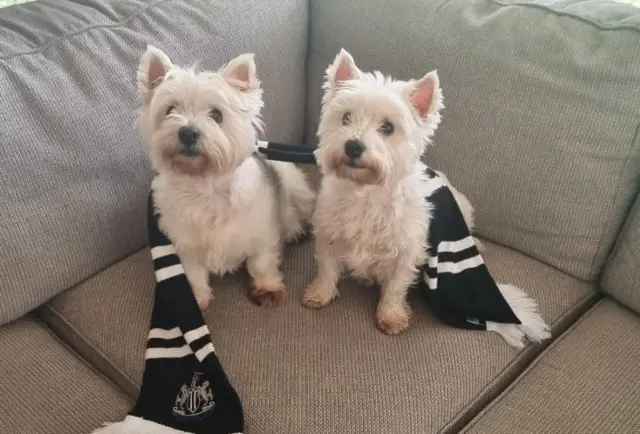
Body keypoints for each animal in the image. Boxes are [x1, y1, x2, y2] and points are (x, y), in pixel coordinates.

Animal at [136, 46, 314, 308]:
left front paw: (267, 287)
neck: (205, 184)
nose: (188, 133)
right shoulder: (185, 245)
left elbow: (261, 263)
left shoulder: (262, 233)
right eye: (170, 111)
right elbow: (193, 273)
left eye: (217, 115)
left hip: (292, 186)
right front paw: (196, 297)